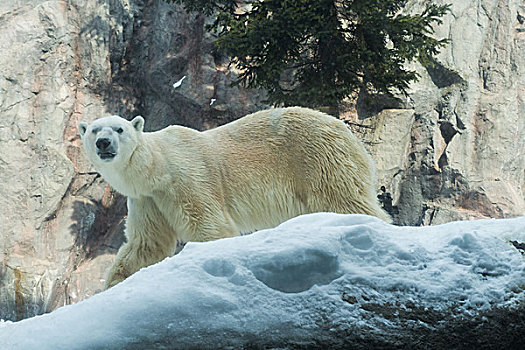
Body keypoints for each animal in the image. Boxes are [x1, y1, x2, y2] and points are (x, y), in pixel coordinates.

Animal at [78, 108, 388, 288]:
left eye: (119, 129)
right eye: (94, 129)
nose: (103, 143)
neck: (157, 167)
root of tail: (346, 130)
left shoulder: (186, 179)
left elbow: (210, 226)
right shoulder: (147, 200)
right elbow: (146, 245)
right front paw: (114, 284)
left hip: (318, 157)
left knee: (345, 198)